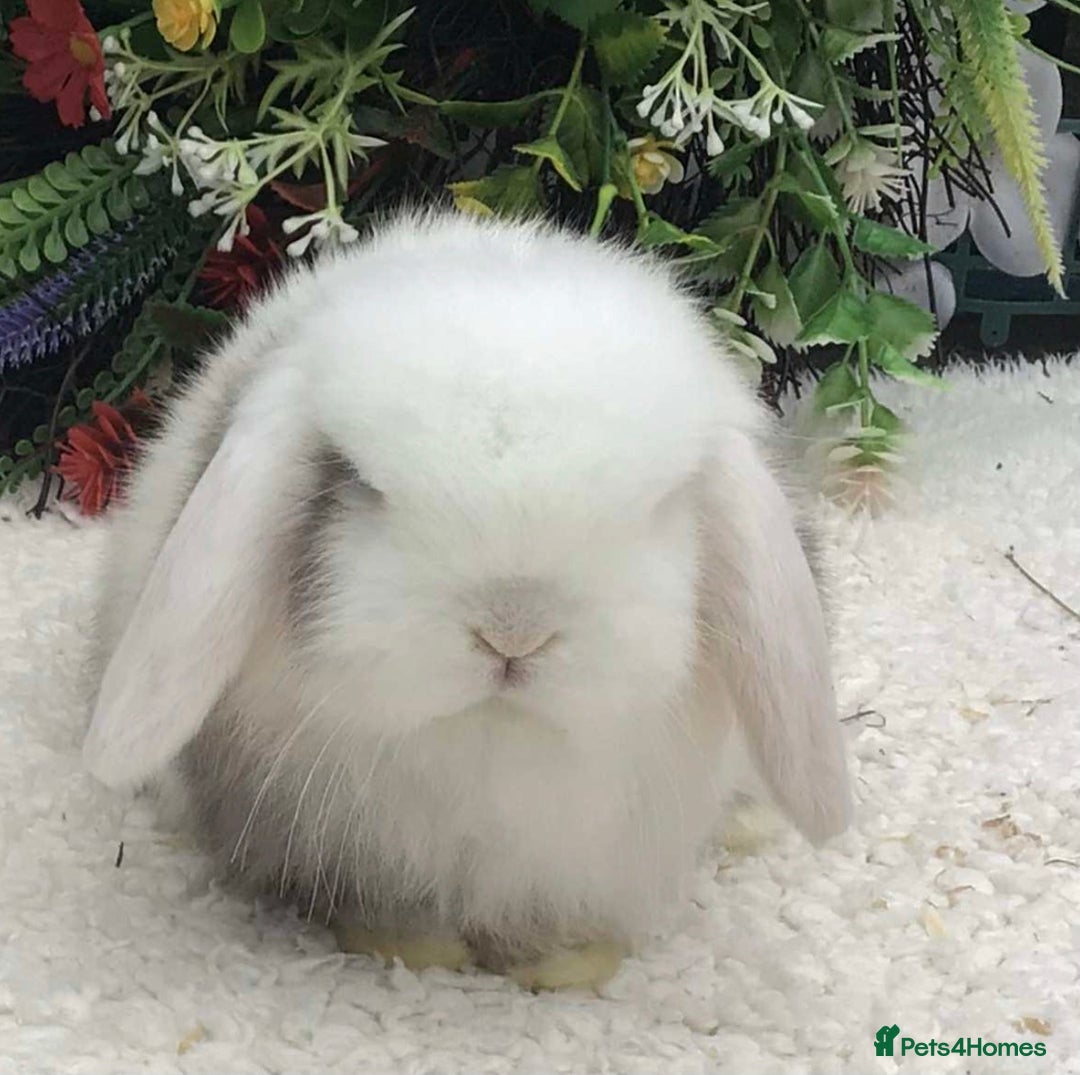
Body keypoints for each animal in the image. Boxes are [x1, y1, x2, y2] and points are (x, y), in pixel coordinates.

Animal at [83, 210, 851, 991]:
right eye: (357, 481)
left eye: (663, 504)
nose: (512, 633)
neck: (491, 746)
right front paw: (415, 948)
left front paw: (569, 962)